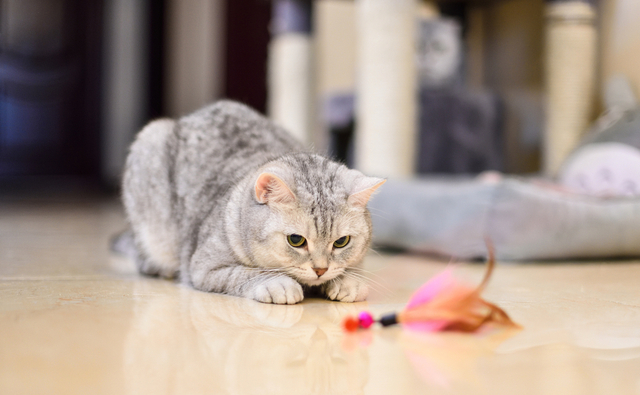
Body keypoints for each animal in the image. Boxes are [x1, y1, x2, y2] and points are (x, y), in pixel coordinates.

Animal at [121, 100, 384, 304]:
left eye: (341, 242)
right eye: (296, 240)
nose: (321, 270)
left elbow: (351, 270)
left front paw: (347, 282)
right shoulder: (205, 267)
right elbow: (247, 274)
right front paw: (279, 284)